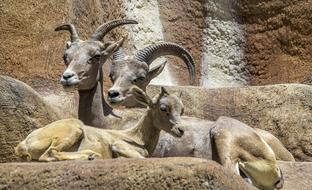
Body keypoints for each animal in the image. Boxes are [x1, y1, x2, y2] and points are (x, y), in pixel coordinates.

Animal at [14, 87, 184, 161]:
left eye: (181, 109)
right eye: (163, 108)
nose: (180, 130)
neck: (136, 138)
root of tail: (25, 143)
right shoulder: (119, 145)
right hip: (74, 129)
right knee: (50, 153)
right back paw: (90, 155)